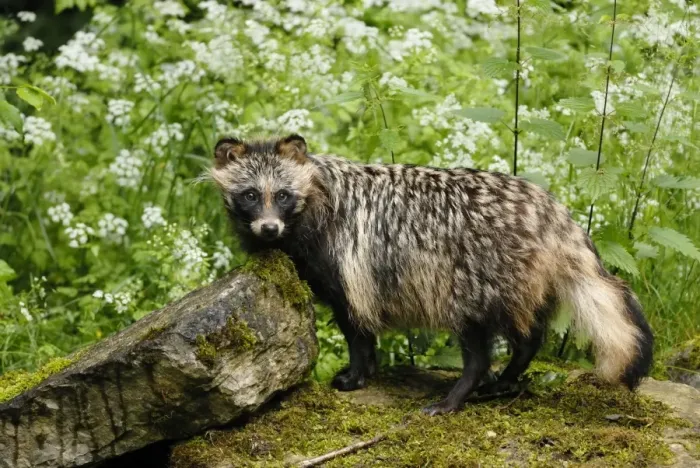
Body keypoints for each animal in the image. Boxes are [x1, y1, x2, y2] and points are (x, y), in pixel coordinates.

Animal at [210, 134, 653, 415]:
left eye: (283, 195)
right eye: (250, 195)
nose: (269, 229)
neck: (316, 194)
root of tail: (552, 214)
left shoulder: (345, 263)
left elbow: (355, 327)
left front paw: (356, 373)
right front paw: (368, 369)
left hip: (474, 276)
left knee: (479, 346)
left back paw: (457, 395)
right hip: (523, 282)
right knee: (529, 335)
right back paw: (507, 377)